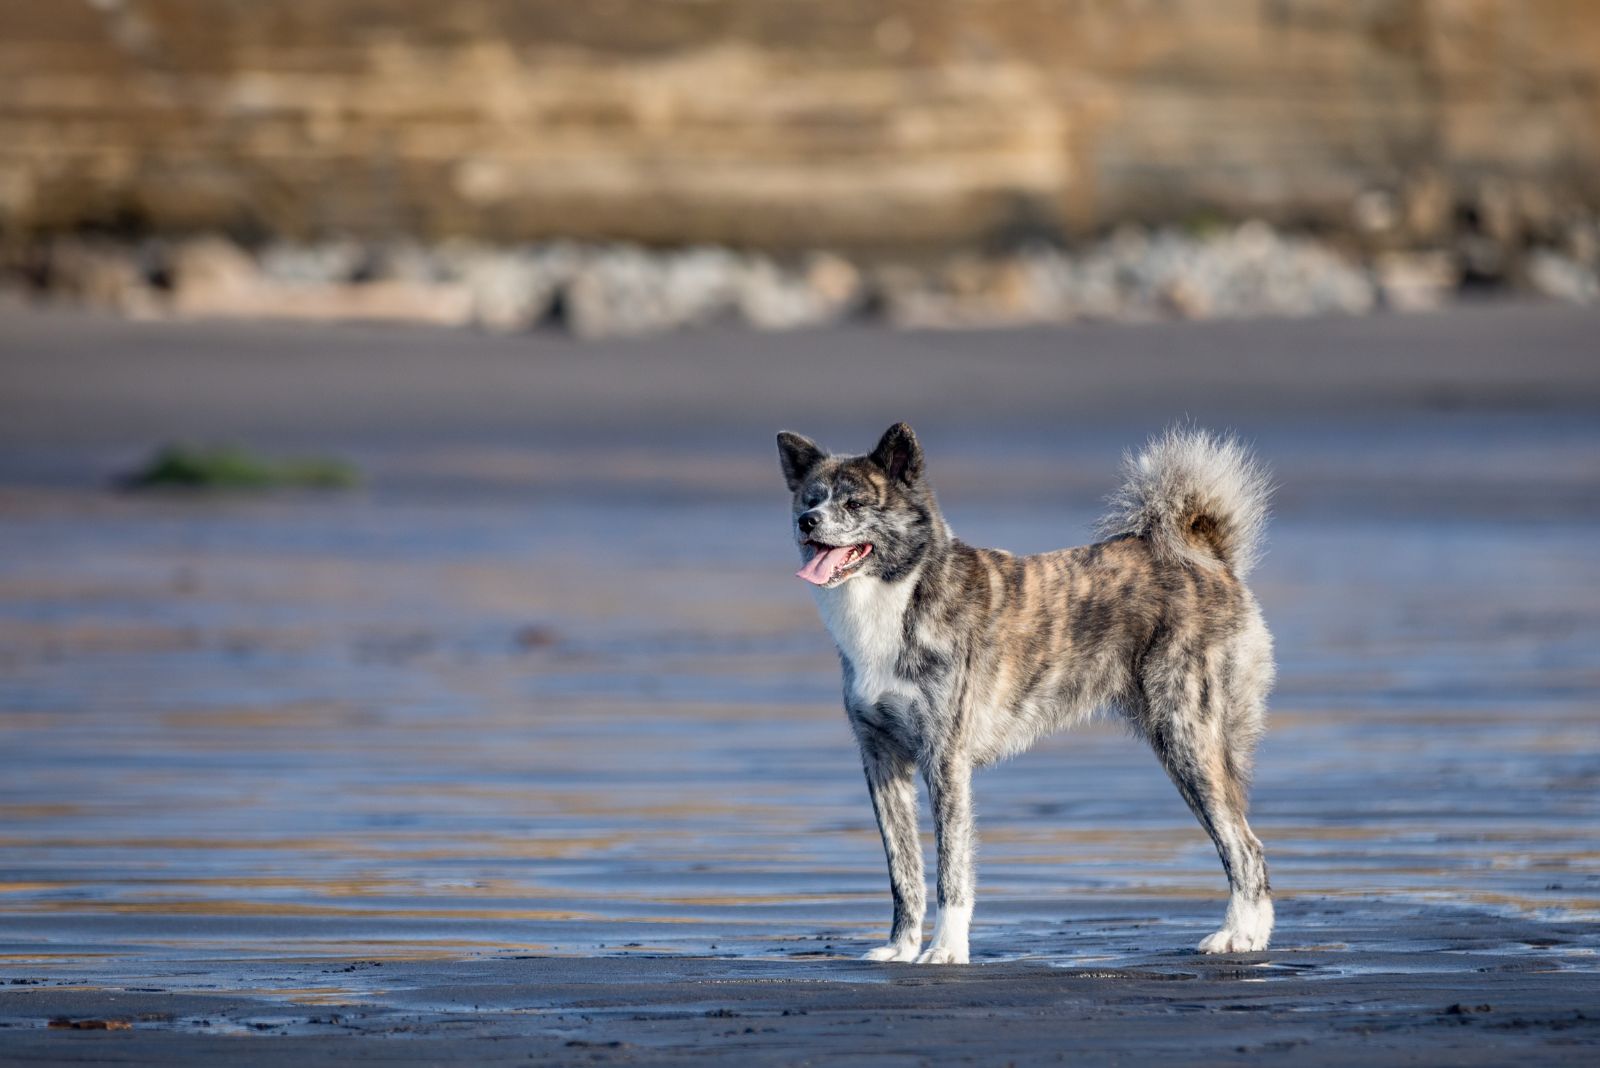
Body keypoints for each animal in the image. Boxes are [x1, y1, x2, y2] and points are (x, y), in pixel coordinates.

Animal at [774, 422, 1273, 965]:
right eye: (811, 498)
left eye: (855, 503)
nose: (806, 521)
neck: (904, 593)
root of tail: (1207, 557)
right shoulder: (882, 761)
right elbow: (903, 872)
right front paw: (901, 948)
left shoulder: (945, 761)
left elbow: (951, 867)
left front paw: (946, 949)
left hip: (1187, 739)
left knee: (1245, 847)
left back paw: (1238, 936)